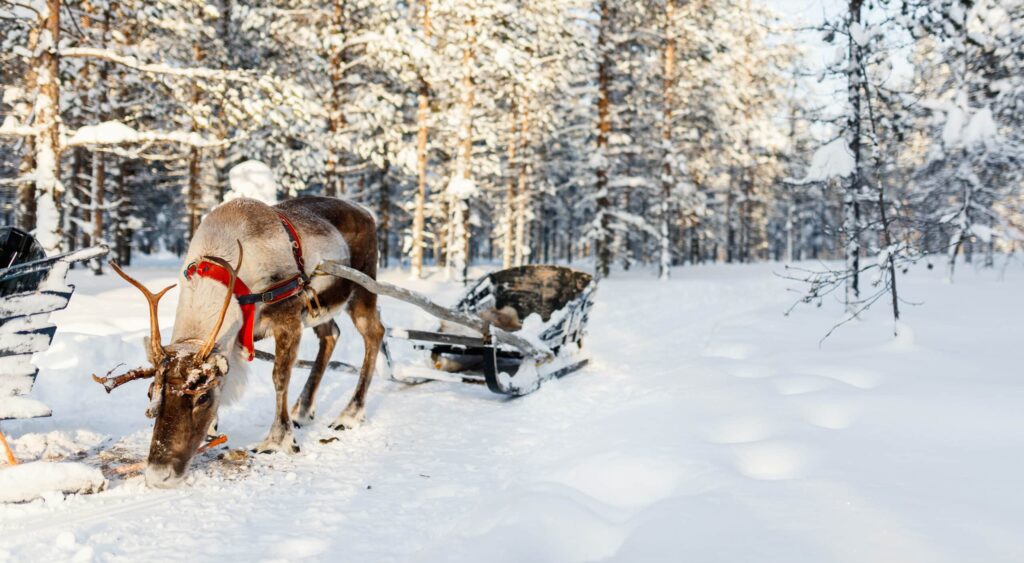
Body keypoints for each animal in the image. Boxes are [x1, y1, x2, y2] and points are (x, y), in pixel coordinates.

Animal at [92, 196, 385, 488]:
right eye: (150, 391)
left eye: (202, 398)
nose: (157, 476)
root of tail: (367, 213)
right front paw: (214, 427)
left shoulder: (288, 318)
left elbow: (280, 378)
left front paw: (278, 440)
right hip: (317, 309)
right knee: (331, 334)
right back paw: (303, 410)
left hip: (361, 291)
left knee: (374, 332)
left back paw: (349, 414)